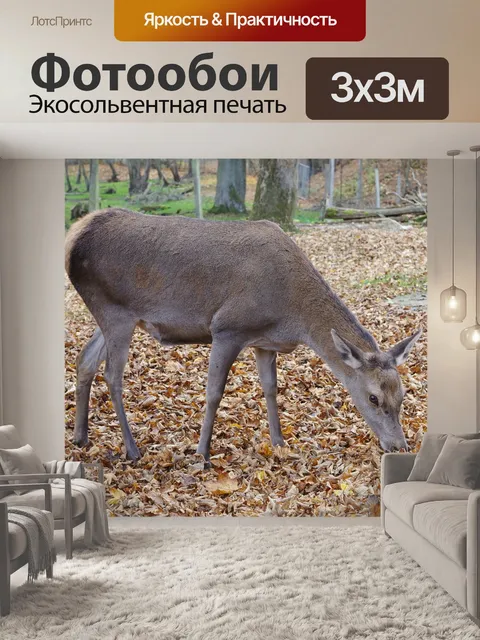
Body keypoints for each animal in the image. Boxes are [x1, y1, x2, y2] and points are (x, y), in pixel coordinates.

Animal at [65, 208, 422, 463]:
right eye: (373, 397)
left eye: (403, 394)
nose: (399, 445)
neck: (291, 315)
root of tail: (73, 238)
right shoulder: (228, 327)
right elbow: (213, 393)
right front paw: (202, 453)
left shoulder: (264, 342)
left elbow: (270, 389)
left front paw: (279, 443)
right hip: (114, 309)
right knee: (112, 375)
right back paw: (132, 449)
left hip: (113, 314)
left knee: (85, 360)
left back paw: (81, 437)